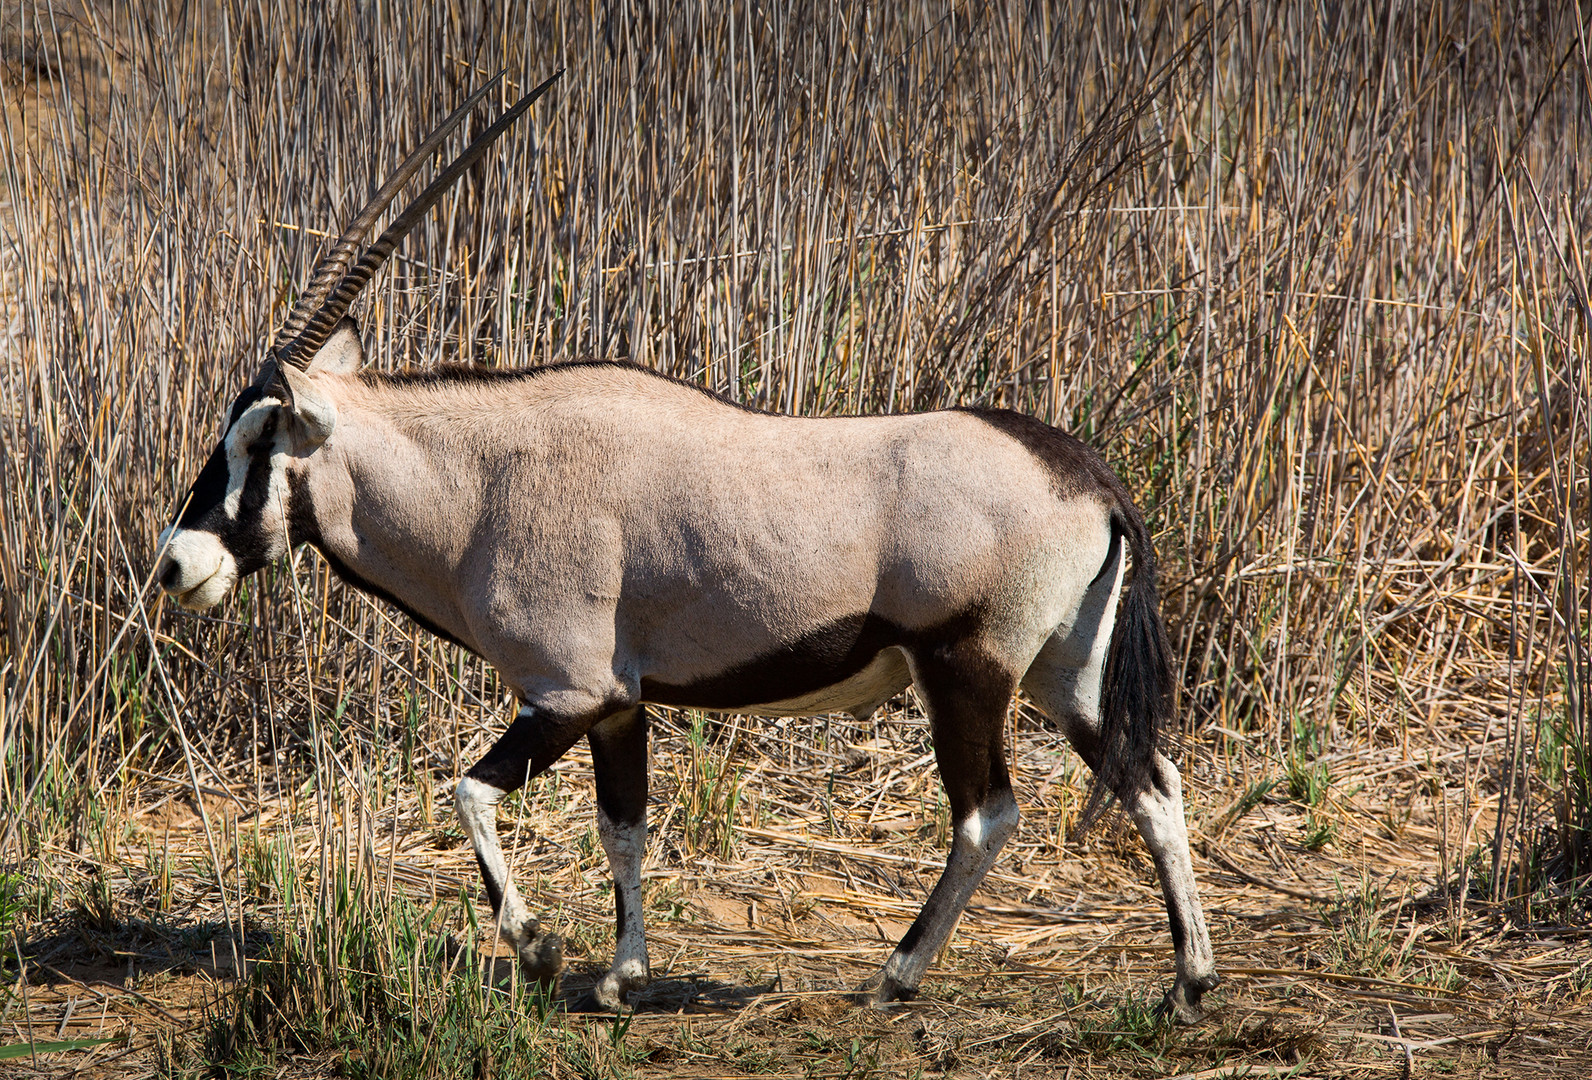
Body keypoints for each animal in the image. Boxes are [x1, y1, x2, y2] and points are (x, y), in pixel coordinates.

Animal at [158, 76, 1216, 1025]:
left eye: (259, 437)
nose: (176, 565)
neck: (483, 478)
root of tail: (1088, 477)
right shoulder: (619, 703)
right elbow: (622, 826)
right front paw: (620, 979)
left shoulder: (567, 691)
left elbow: (469, 792)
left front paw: (537, 948)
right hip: (1063, 672)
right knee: (1150, 784)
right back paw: (1189, 985)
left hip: (967, 670)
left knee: (987, 813)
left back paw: (897, 976)